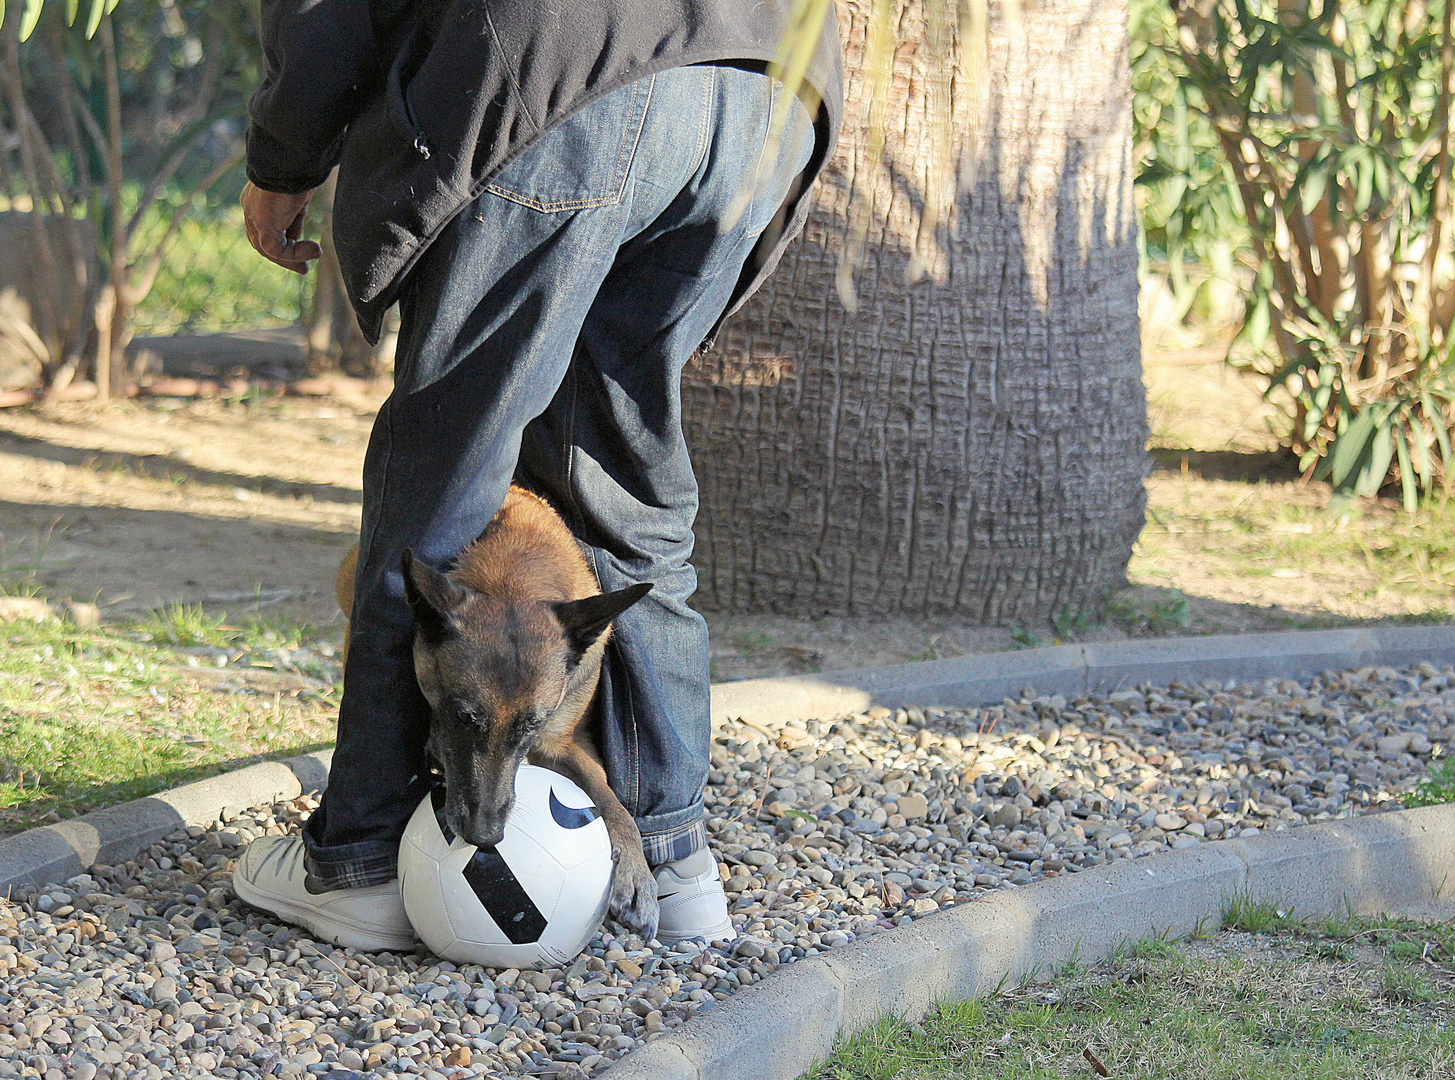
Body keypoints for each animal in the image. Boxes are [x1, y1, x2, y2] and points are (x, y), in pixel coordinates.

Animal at [333, 489, 657, 937]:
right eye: (463, 716)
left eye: (533, 724)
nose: (483, 836)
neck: (516, 573)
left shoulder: (556, 743)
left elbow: (609, 795)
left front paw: (636, 870)